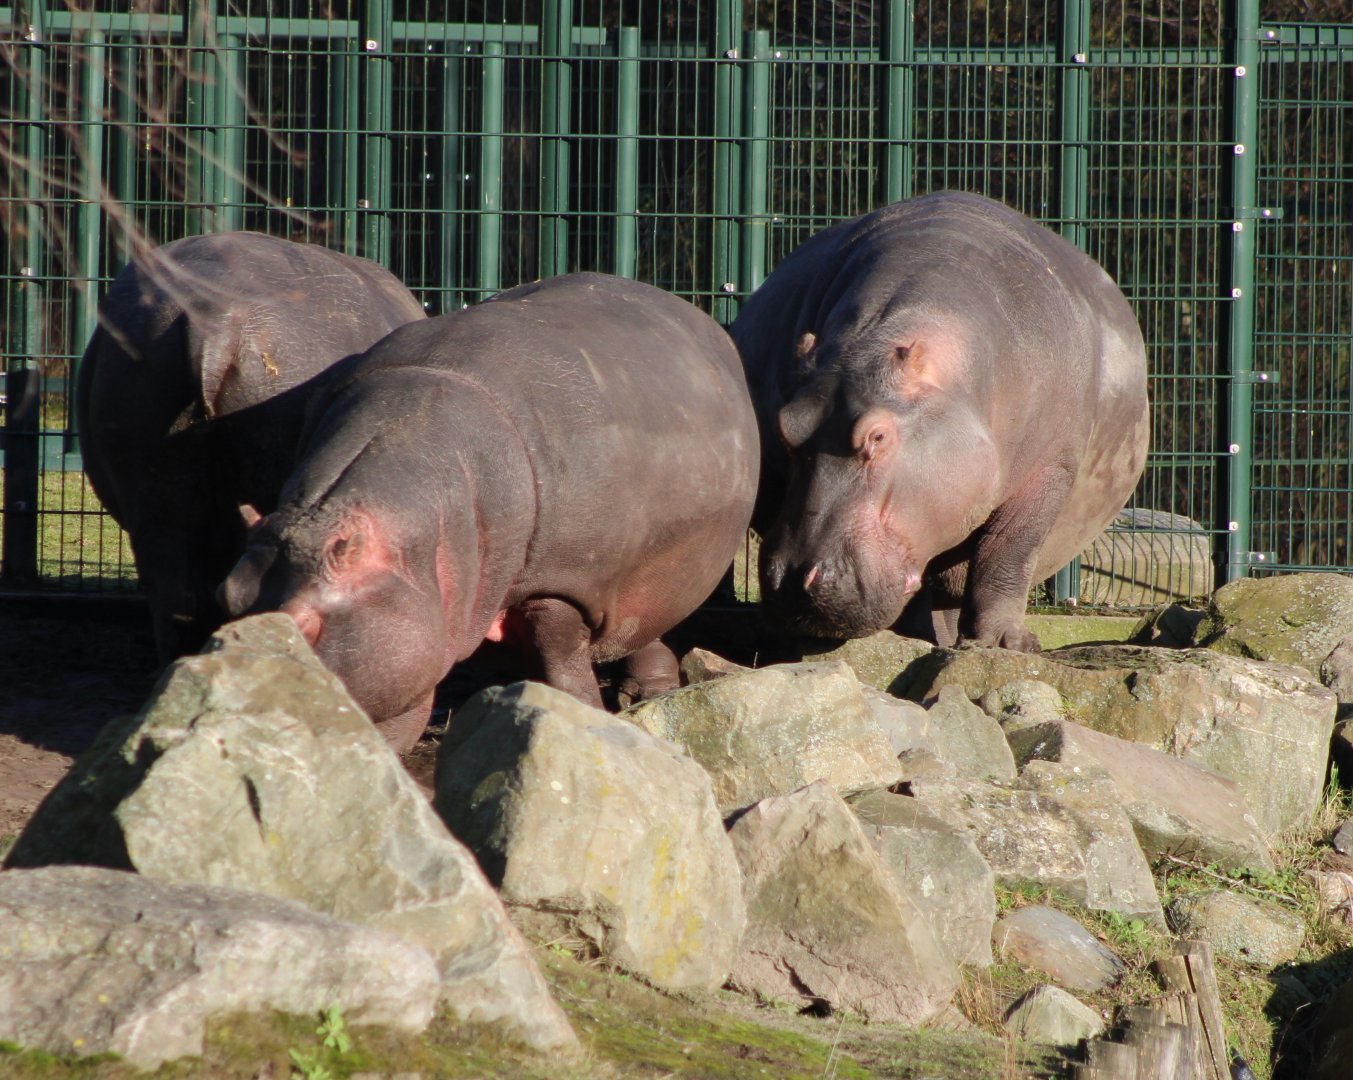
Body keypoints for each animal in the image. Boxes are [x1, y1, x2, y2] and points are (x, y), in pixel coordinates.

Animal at [218, 272, 760, 750]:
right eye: (228, 599)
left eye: (302, 625)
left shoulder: (557, 588)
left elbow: (563, 671)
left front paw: (579, 718)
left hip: (659, 570)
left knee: (645, 627)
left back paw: (645, 697)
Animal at [731, 191, 1149, 650]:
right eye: (785, 427)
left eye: (877, 436)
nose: (790, 582)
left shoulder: (1049, 470)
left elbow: (1009, 552)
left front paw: (1008, 645)